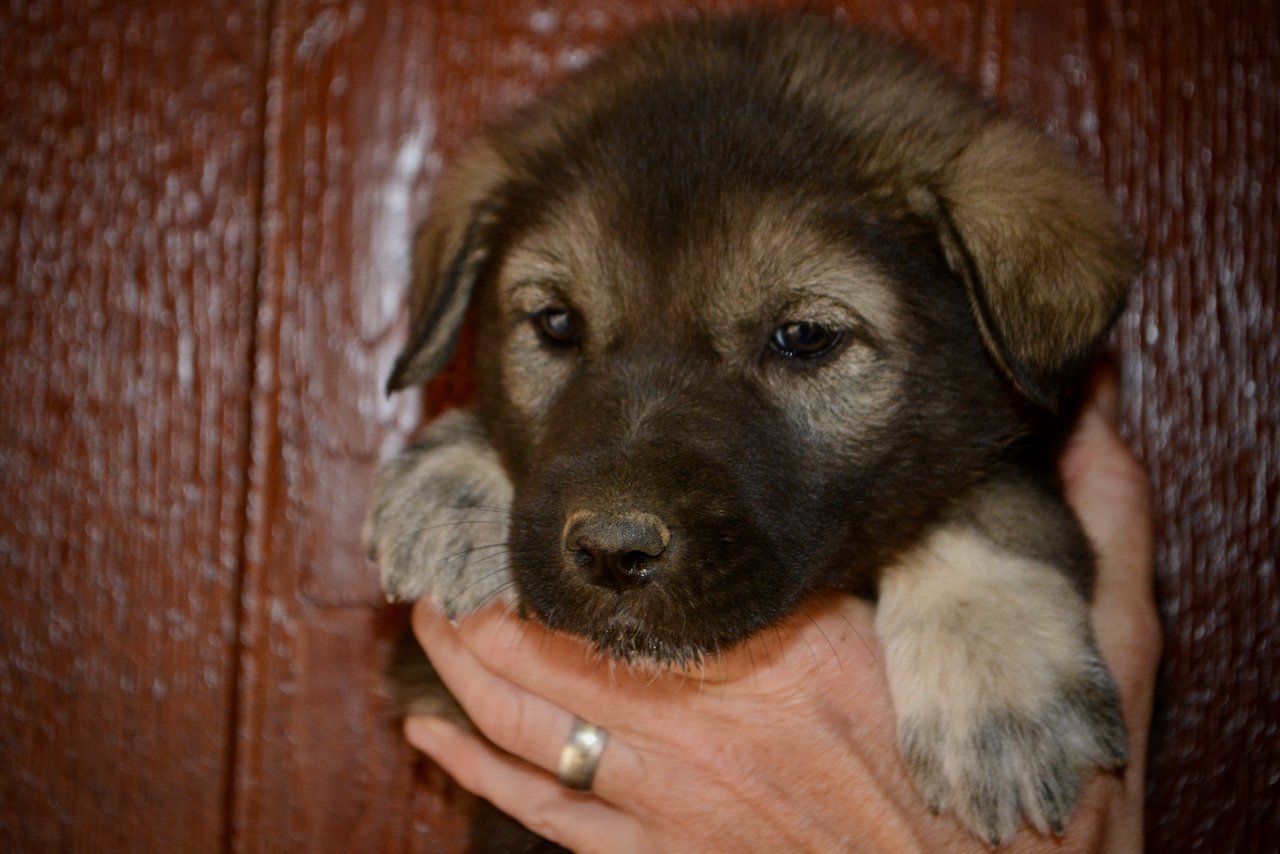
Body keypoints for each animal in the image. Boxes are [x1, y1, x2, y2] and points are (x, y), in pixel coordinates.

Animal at [366, 13, 1136, 850]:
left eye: (803, 337)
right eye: (557, 324)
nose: (612, 553)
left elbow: (987, 493)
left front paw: (997, 679)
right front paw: (453, 481)